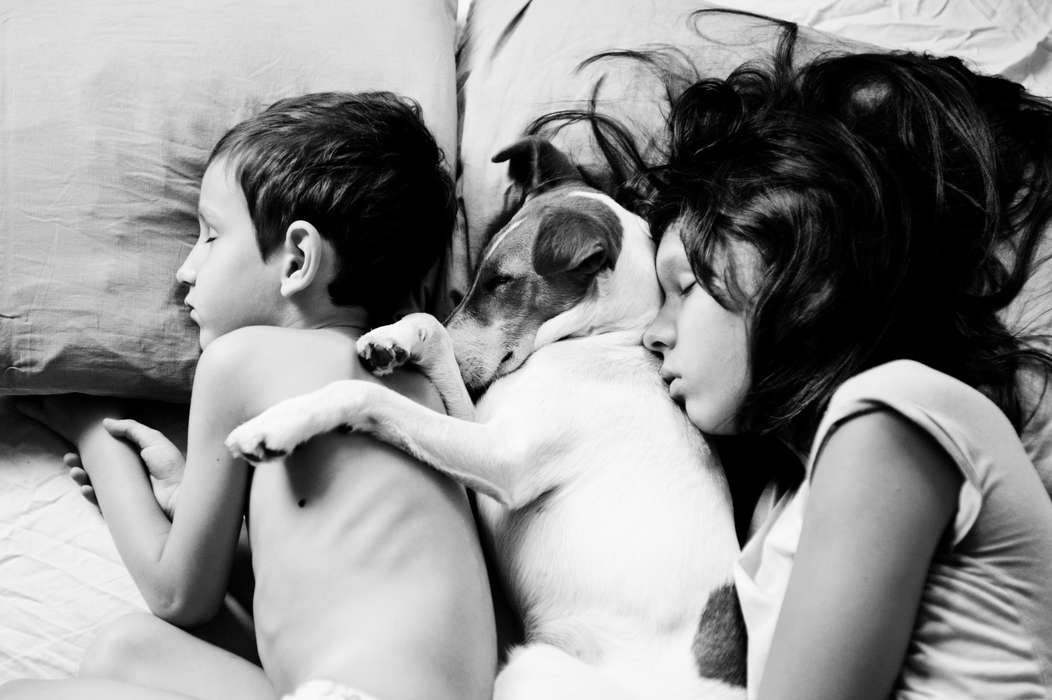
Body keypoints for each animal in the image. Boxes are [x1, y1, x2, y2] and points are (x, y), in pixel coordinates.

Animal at [226, 137, 746, 700]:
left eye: (502, 282)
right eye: (478, 275)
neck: (602, 338)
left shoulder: (504, 461)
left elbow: (368, 397)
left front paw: (283, 421)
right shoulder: (481, 424)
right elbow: (432, 329)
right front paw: (395, 339)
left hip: (533, 667)